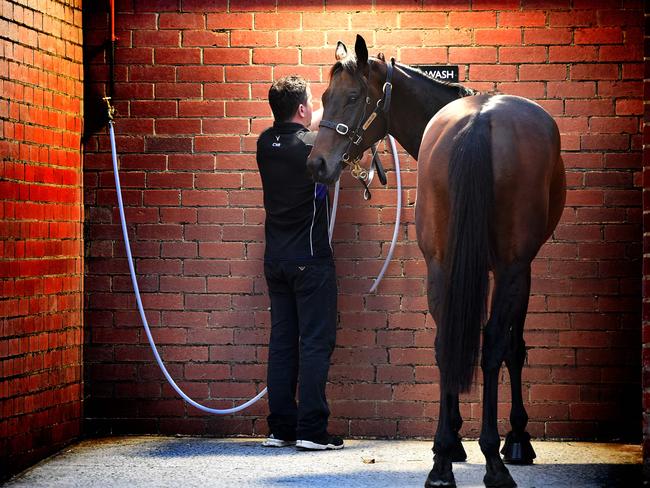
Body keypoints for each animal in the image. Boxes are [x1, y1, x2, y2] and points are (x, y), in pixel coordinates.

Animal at [306, 35, 564, 488]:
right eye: (323, 98)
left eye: (352, 97)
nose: (317, 163)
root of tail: (479, 121)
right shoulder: (521, 267)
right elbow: (512, 348)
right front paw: (516, 439)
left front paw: (454, 442)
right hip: (509, 267)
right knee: (491, 345)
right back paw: (493, 462)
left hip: (446, 264)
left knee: (447, 343)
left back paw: (443, 462)